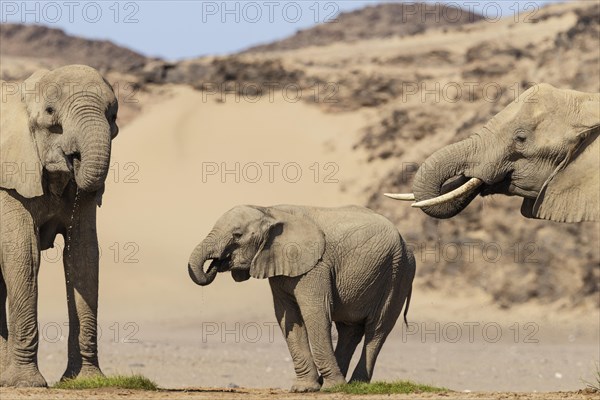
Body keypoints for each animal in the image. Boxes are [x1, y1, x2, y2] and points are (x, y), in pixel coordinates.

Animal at [0, 65, 119, 388]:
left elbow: (83, 257)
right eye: (50, 113)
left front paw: (84, 380)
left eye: (113, 115)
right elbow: (23, 255)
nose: (75, 157)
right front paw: (26, 384)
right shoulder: (9, 180)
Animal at [190, 205, 414, 392]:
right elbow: (288, 316)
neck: (270, 211)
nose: (215, 264)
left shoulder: (317, 267)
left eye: (237, 235)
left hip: (397, 274)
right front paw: (304, 388)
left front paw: (331, 388)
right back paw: (340, 382)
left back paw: (353, 384)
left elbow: (315, 313)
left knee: (377, 329)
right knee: (349, 330)